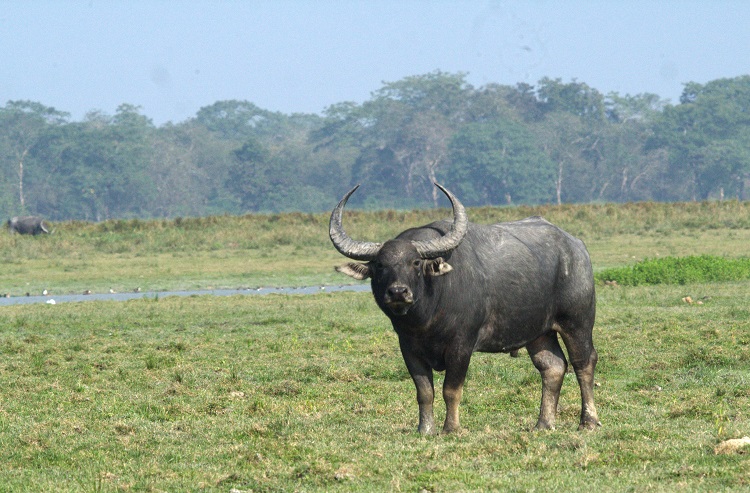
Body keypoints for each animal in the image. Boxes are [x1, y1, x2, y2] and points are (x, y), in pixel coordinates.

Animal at [332, 183, 604, 432]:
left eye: (416, 262)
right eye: (379, 265)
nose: (398, 291)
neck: (426, 320)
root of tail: (576, 247)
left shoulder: (461, 345)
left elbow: (451, 390)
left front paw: (451, 428)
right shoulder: (408, 348)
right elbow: (424, 391)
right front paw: (425, 429)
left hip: (577, 321)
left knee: (583, 363)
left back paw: (588, 422)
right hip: (540, 332)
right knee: (552, 367)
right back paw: (544, 424)